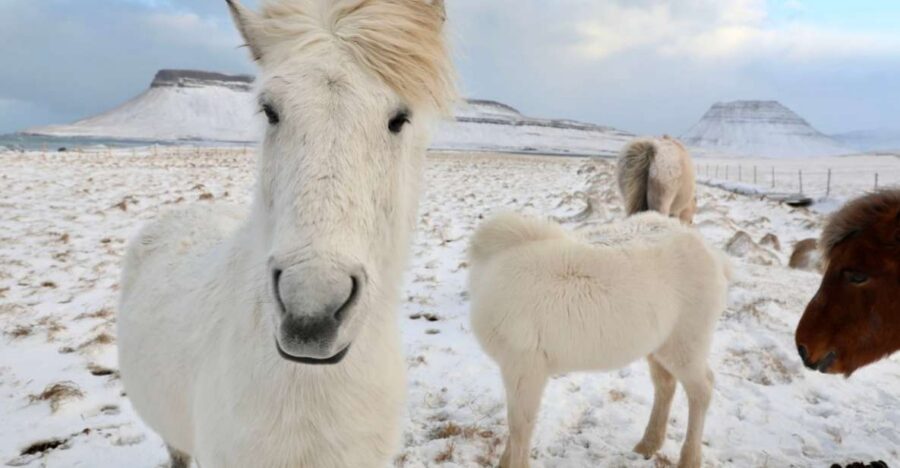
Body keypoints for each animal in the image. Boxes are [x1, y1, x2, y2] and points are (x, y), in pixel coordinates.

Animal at [468, 212, 730, 468]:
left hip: (686, 343)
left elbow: (520, 427)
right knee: (665, 384)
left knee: (702, 389)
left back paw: (689, 460)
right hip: (659, 346)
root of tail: (708, 251)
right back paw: (648, 443)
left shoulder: (523, 366)